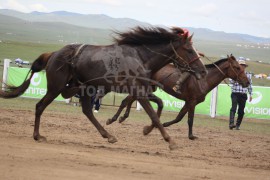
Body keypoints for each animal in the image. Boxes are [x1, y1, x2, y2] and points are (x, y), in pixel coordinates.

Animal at [0, 26, 207, 150]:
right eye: (189, 50)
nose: (203, 70)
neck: (140, 57)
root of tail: (54, 54)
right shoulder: (138, 92)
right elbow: (154, 114)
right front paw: (170, 141)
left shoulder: (140, 91)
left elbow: (156, 108)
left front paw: (148, 130)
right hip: (55, 87)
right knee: (40, 106)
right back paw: (37, 135)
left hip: (82, 88)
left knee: (86, 109)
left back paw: (108, 135)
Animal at [108, 54, 250, 139]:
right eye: (237, 67)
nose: (247, 82)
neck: (204, 80)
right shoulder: (192, 102)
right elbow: (190, 119)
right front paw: (191, 136)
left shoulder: (188, 102)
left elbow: (179, 117)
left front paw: (164, 124)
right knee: (127, 100)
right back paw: (115, 118)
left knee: (129, 99)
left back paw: (121, 117)